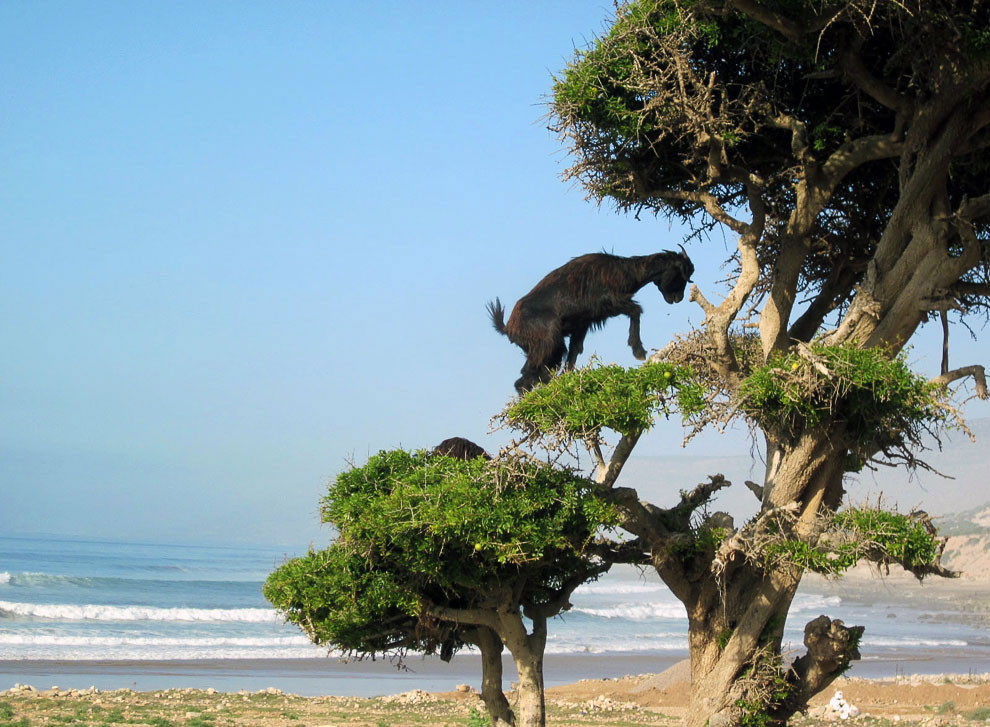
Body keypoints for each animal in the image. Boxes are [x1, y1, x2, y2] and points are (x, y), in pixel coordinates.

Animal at [490, 253, 696, 396]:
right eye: (680, 275)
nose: (678, 298)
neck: (624, 272)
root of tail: (508, 328)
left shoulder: (583, 324)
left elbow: (574, 354)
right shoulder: (609, 303)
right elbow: (636, 310)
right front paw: (638, 350)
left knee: (535, 376)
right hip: (547, 342)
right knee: (524, 379)